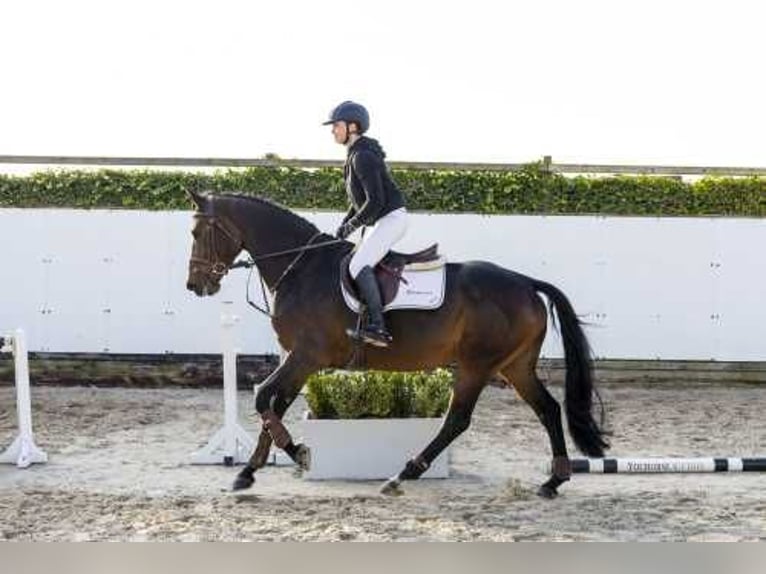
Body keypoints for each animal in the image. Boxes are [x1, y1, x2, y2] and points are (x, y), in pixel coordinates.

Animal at [183, 190, 608, 500]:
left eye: (197, 234)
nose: (195, 286)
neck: (300, 269)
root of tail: (526, 283)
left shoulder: (305, 356)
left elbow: (262, 401)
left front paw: (299, 453)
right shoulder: (298, 360)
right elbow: (273, 407)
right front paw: (248, 472)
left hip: (477, 365)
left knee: (457, 420)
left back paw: (403, 474)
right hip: (514, 365)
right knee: (548, 409)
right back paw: (553, 481)